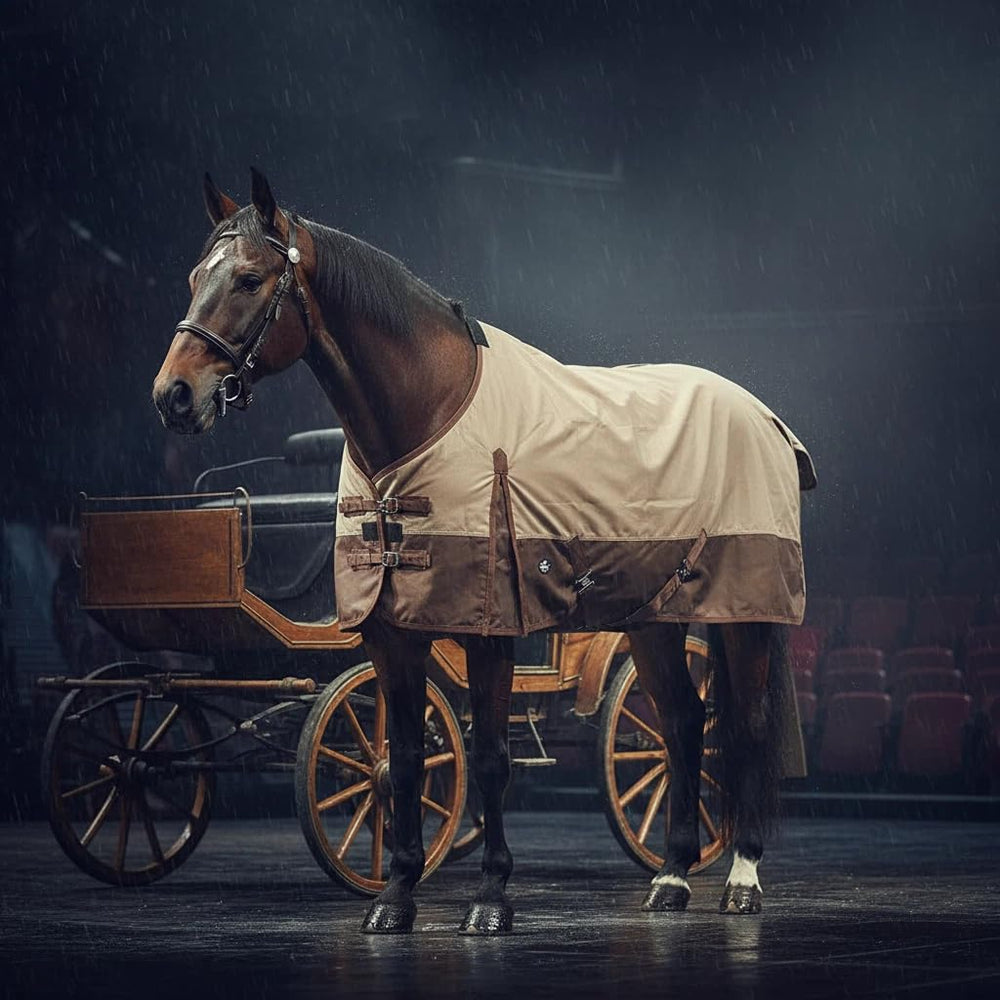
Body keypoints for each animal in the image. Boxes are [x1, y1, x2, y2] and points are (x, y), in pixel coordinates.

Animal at [153, 169, 815, 935]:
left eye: (251, 279)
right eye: (194, 276)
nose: (173, 395)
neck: (431, 414)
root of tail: (763, 415)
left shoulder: (490, 630)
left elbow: (491, 756)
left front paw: (492, 897)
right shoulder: (391, 632)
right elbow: (406, 759)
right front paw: (395, 896)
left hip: (746, 614)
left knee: (744, 728)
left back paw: (742, 878)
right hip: (654, 619)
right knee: (681, 723)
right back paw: (673, 877)